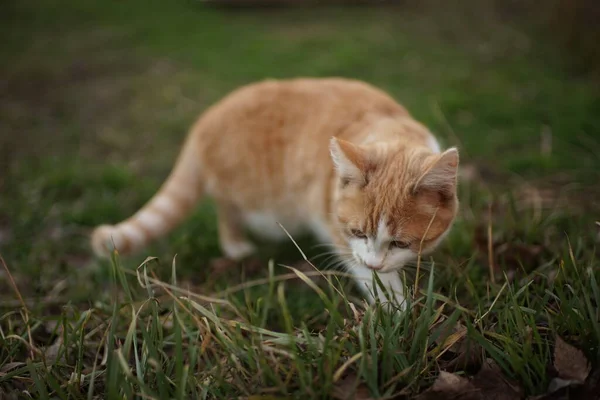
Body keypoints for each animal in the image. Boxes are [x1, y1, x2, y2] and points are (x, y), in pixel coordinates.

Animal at [91, 79, 460, 310]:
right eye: (357, 232)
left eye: (400, 242)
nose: (374, 262)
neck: (388, 127)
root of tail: (204, 120)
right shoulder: (335, 230)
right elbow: (367, 274)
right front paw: (396, 309)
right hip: (256, 201)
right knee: (227, 208)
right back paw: (236, 245)